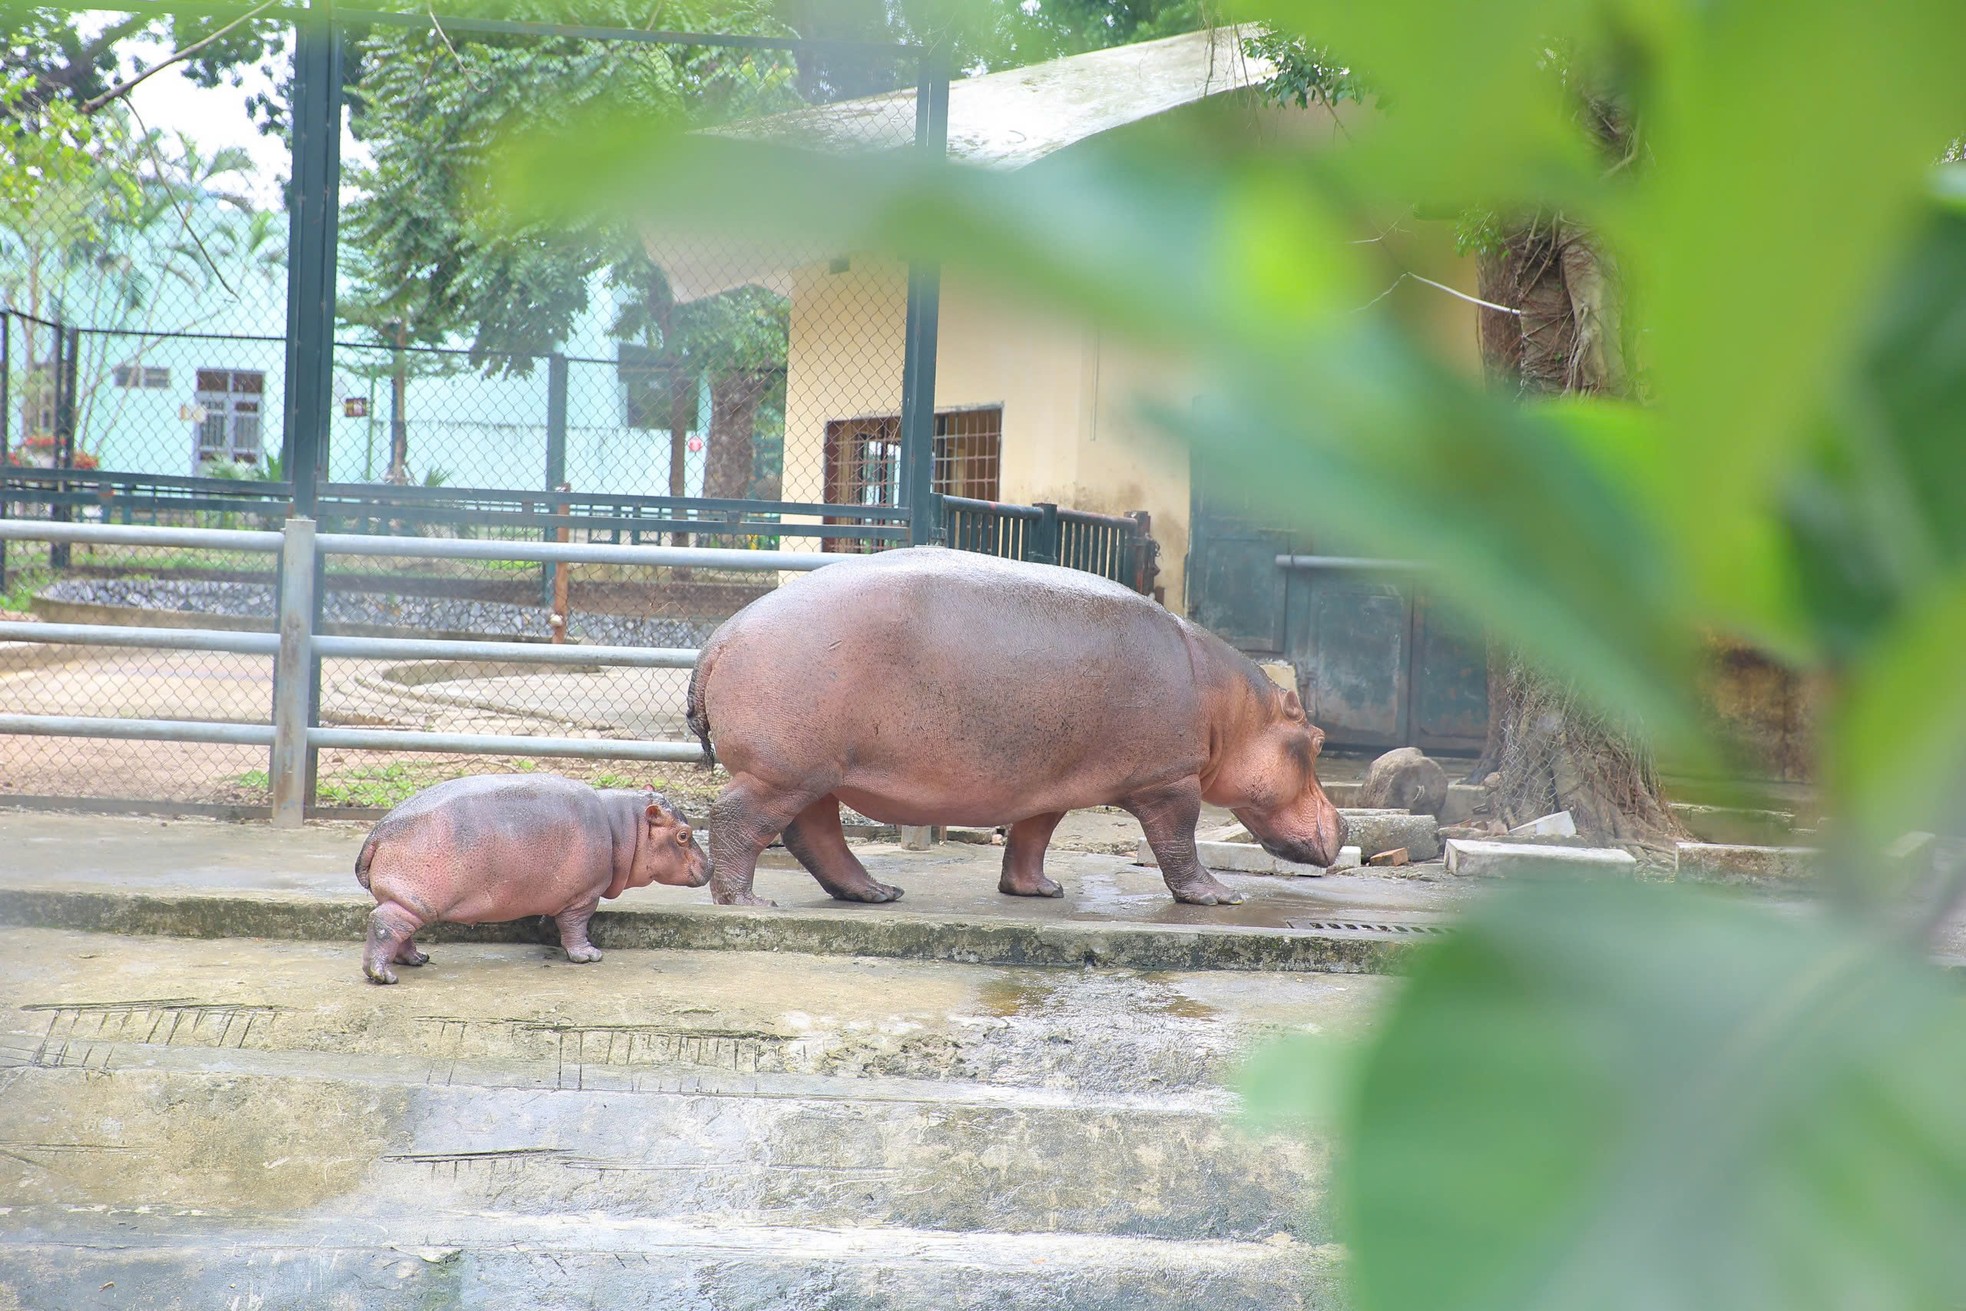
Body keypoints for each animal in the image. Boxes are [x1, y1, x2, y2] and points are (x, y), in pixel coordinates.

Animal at [353, 774, 707, 978]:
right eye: (684, 835)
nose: (712, 866)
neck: (623, 825)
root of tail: (377, 832)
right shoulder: (584, 896)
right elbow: (576, 926)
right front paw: (588, 956)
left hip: (404, 897)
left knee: (398, 929)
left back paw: (417, 959)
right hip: (417, 899)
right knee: (384, 924)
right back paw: (382, 975)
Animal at [684, 550, 1344, 908]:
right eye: (1316, 743)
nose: (1344, 824)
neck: (1231, 711)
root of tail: (721, 636)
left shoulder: (1051, 784)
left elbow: (1033, 836)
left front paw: (1039, 891)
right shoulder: (1169, 781)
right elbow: (1179, 843)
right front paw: (1218, 895)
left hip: (817, 772)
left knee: (813, 834)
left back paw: (878, 893)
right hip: (784, 770)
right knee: (738, 820)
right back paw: (747, 901)